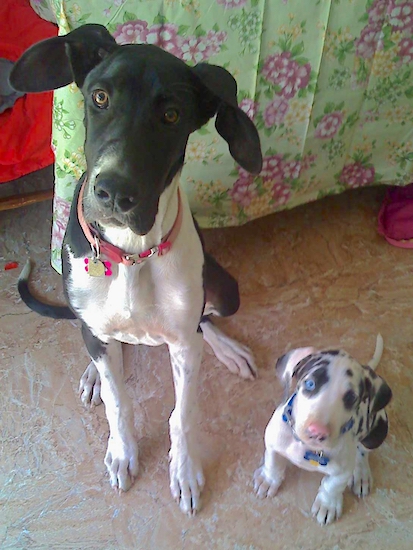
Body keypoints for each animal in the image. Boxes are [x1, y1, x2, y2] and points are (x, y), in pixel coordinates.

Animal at [12, 23, 260, 516]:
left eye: (171, 115)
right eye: (99, 97)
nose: (113, 191)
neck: (131, 255)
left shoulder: (182, 344)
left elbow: (182, 415)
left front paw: (184, 471)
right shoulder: (98, 331)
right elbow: (117, 402)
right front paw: (123, 452)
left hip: (225, 291)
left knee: (207, 321)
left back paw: (226, 349)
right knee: (99, 342)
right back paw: (95, 372)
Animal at [253, 336, 392, 528]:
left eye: (351, 398)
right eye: (310, 383)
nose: (317, 432)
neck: (305, 447)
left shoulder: (342, 471)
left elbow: (332, 485)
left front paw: (328, 505)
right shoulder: (273, 443)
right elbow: (273, 463)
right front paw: (268, 480)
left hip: (377, 433)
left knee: (362, 452)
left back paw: (361, 474)